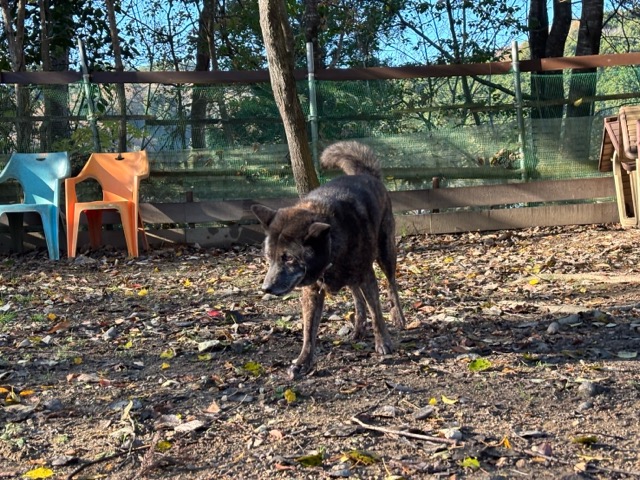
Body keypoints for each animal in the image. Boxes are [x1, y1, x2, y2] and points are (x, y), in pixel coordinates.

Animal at [251, 141, 406, 379]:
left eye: (289, 259)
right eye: (269, 257)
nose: (265, 288)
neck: (332, 242)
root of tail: (366, 174)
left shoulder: (367, 276)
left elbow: (376, 312)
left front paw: (384, 343)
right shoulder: (311, 291)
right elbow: (308, 331)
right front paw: (303, 362)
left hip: (385, 253)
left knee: (391, 285)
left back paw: (398, 318)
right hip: (354, 276)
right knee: (357, 297)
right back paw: (358, 328)